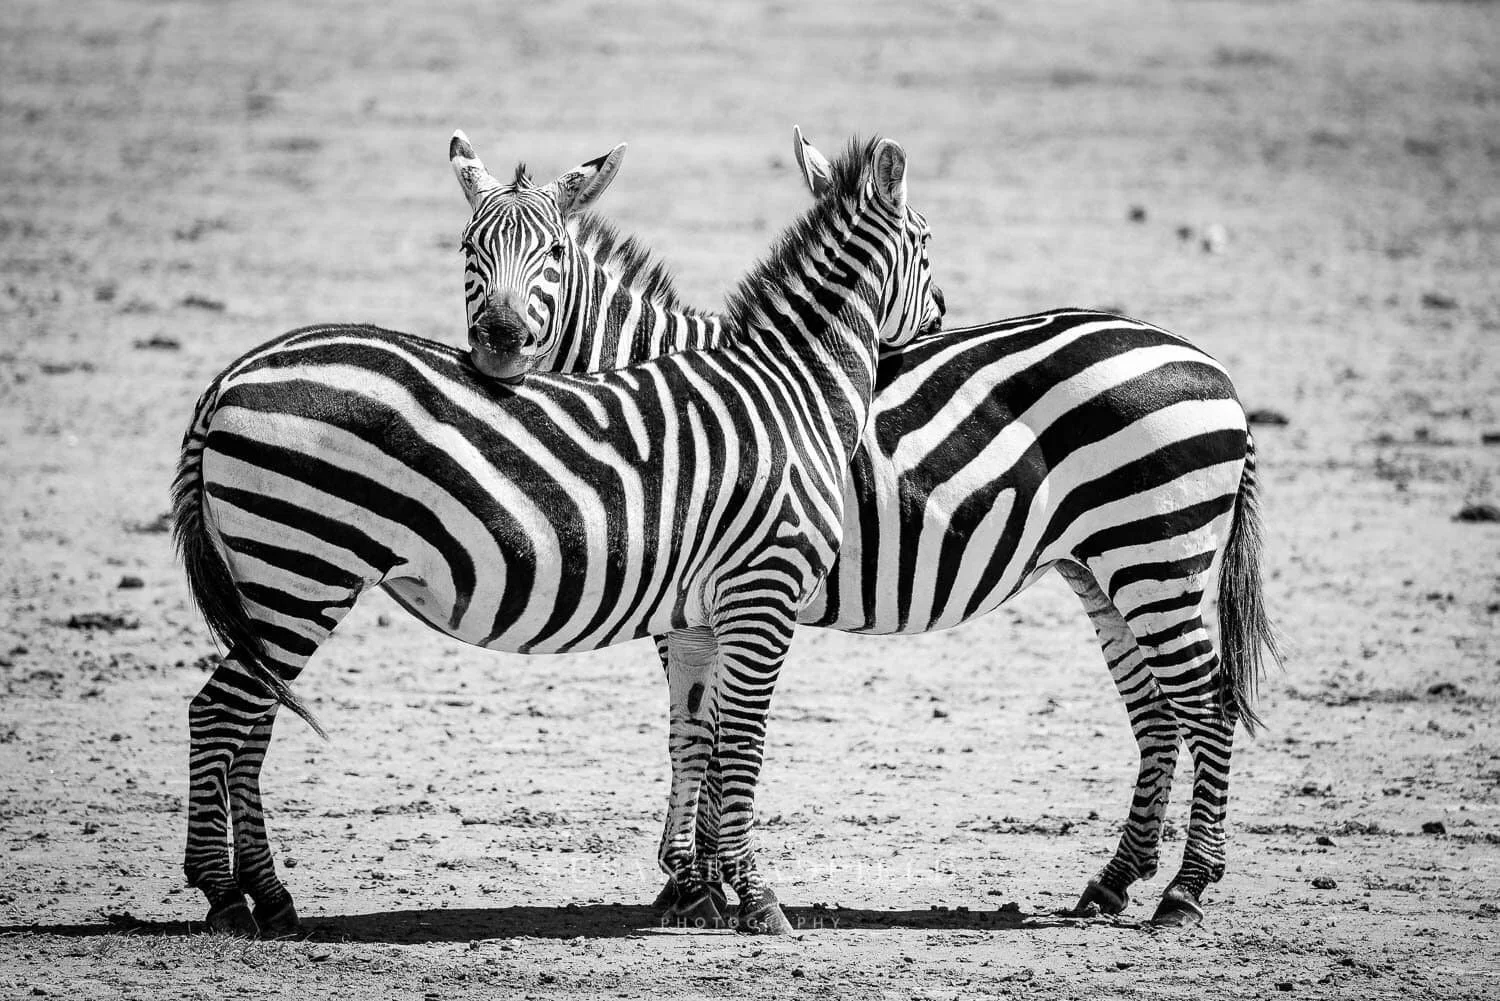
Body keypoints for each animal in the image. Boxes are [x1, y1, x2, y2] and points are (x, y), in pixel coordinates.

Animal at [171, 132, 943, 938]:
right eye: (927, 243)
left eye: (549, 252)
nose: (943, 315)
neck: (794, 387)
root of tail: (228, 378)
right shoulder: (763, 587)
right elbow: (742, 743)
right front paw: (756, 898)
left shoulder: (702, 606)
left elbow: (699, 732)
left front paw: (701, 888)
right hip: (299, 568)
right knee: (219, 712)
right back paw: (223, 893)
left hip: (278, 579)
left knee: (252, 717)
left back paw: (270, 896)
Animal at [461, 128, 1282, 928]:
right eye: (469, 249)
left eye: (552, 254)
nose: (498, 340)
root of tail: (1209, 364)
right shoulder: (697, 599)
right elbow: (692, 731)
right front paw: (695, 885)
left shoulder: (712, 587)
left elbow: (714, 732)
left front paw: (705, 884)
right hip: (1104, 567)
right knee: (1158, 712)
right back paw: (1115, 881)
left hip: (1157, 553)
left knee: (1207, 706)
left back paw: (1185, 890)